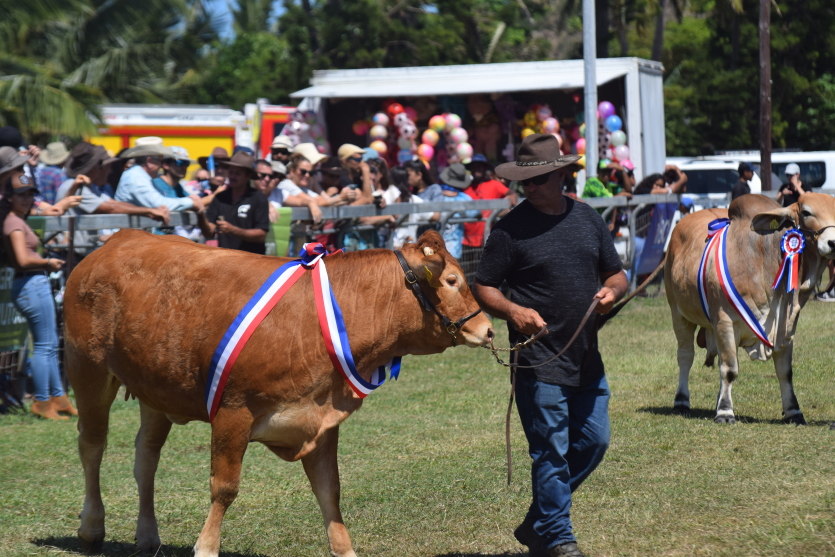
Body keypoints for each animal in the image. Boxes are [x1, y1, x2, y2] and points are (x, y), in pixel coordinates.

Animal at [63, 229, 493, 557]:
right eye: (452, 281)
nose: (487, 329)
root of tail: (118, 238)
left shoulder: (321, 417)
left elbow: (329, 490)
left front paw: (344, 548)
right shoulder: (233, 411)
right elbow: (224, 488)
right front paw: (206, 547)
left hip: (155, 387)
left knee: (145, 457)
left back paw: (148, 535)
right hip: (87, 369)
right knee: (92, 445)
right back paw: (91, 527)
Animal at [664, 193, 835, 424]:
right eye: (807, 212)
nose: (833, 242)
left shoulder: (786, 325)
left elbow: (785, 372)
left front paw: (794, 411)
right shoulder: (725, 321)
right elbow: (729, 369)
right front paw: (725, 412)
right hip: (678, 313)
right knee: (685, 356)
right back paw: (682, 401)